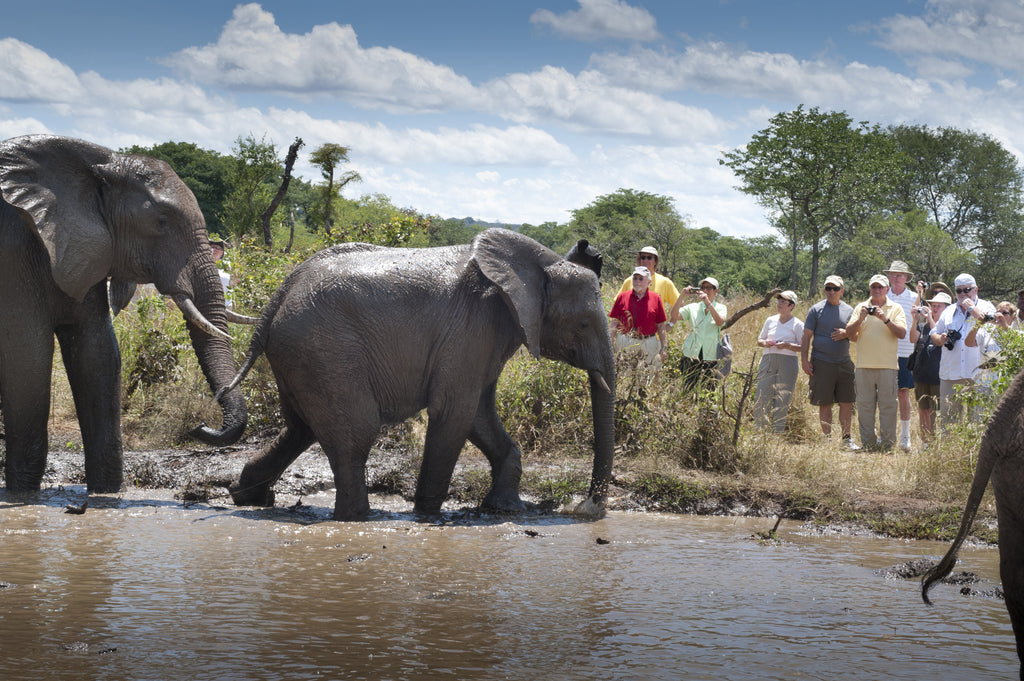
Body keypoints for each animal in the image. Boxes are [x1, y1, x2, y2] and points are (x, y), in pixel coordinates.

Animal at [0, 135, 247, 493]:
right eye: (161, 221)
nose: (200, 426)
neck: (99, 164)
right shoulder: (13, 251)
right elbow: (27, 357)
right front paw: (22, 492)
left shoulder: (88, 248)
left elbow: (98, 353)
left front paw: (107, 494)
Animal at [223, 228, 615, 520]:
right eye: (583, 323)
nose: (585, 507)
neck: (541, 265)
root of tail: (280, 294)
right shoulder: (472, 326)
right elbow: (455, 411)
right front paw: (428, 516)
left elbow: (480, 415)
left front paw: (505, 508)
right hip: (325, 350)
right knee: (355, 432)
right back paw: (357, 518)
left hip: (302, 355)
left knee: (300, 428)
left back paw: (247, 496)